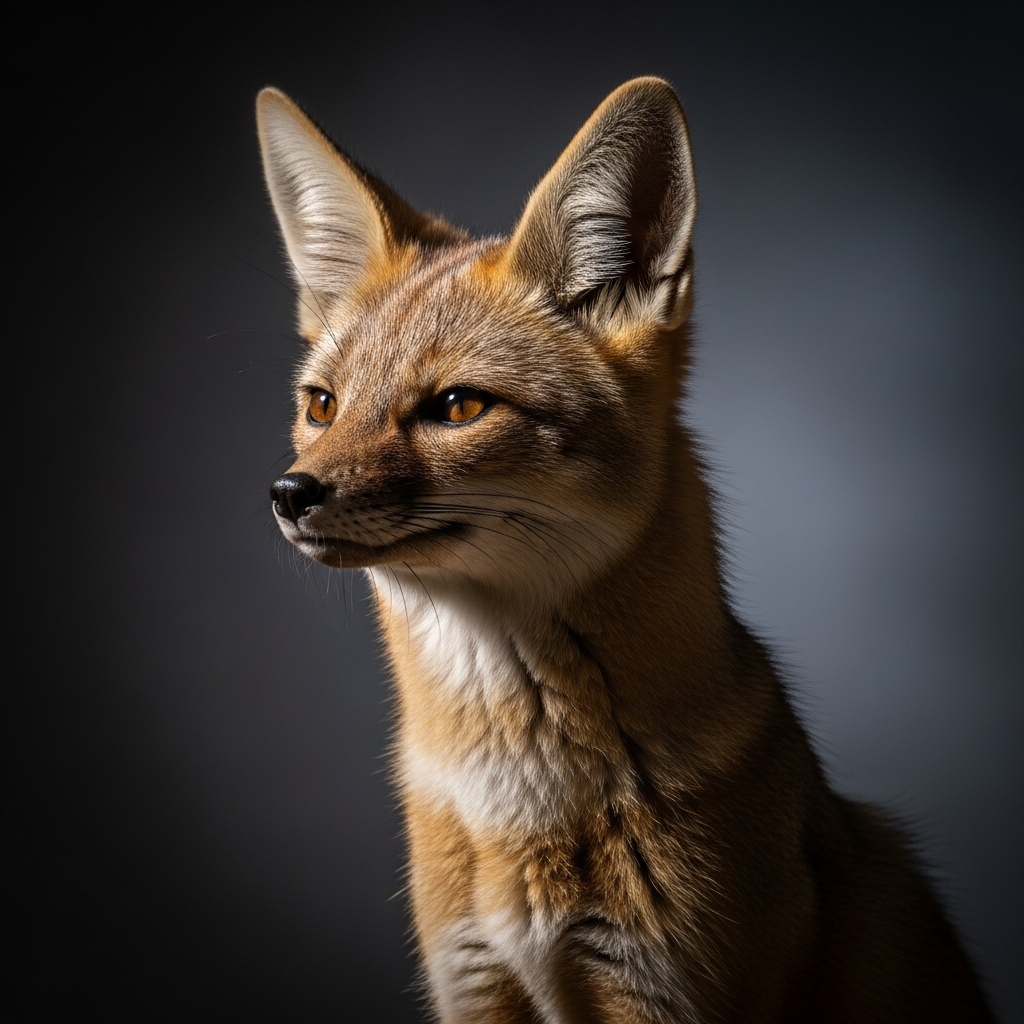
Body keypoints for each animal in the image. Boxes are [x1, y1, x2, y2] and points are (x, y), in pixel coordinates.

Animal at [255, 78, 994, 1023]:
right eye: (322, 405)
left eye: (458, 407)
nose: (290, 493)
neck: (518, 804)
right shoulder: (476, 984)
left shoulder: (658, 989)